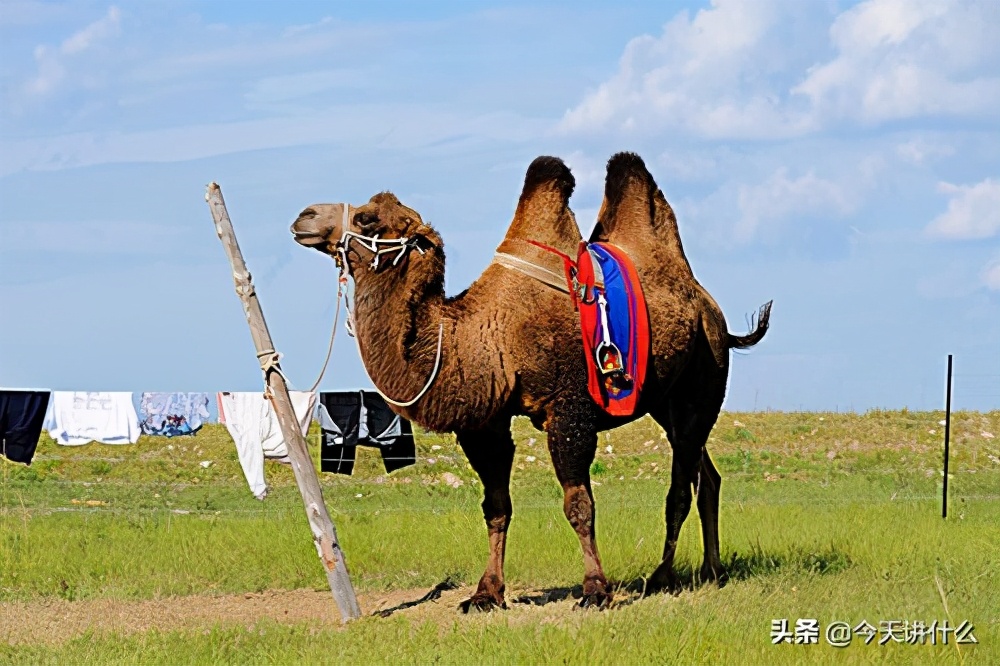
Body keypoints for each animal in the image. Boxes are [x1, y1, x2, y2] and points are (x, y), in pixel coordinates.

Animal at [290, 153, 772, 608]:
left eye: (368, 218)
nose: (305, 216)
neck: (483, 334)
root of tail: (713, 312)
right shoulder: (484, 422)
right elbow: (495, 507)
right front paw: (486, 594)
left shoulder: (569, 408)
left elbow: (578, 504)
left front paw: (595, 590)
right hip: (664, 401)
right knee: (705, 476)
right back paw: (711, 571)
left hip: (702, 377)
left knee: (680, 487)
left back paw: (663, 577)